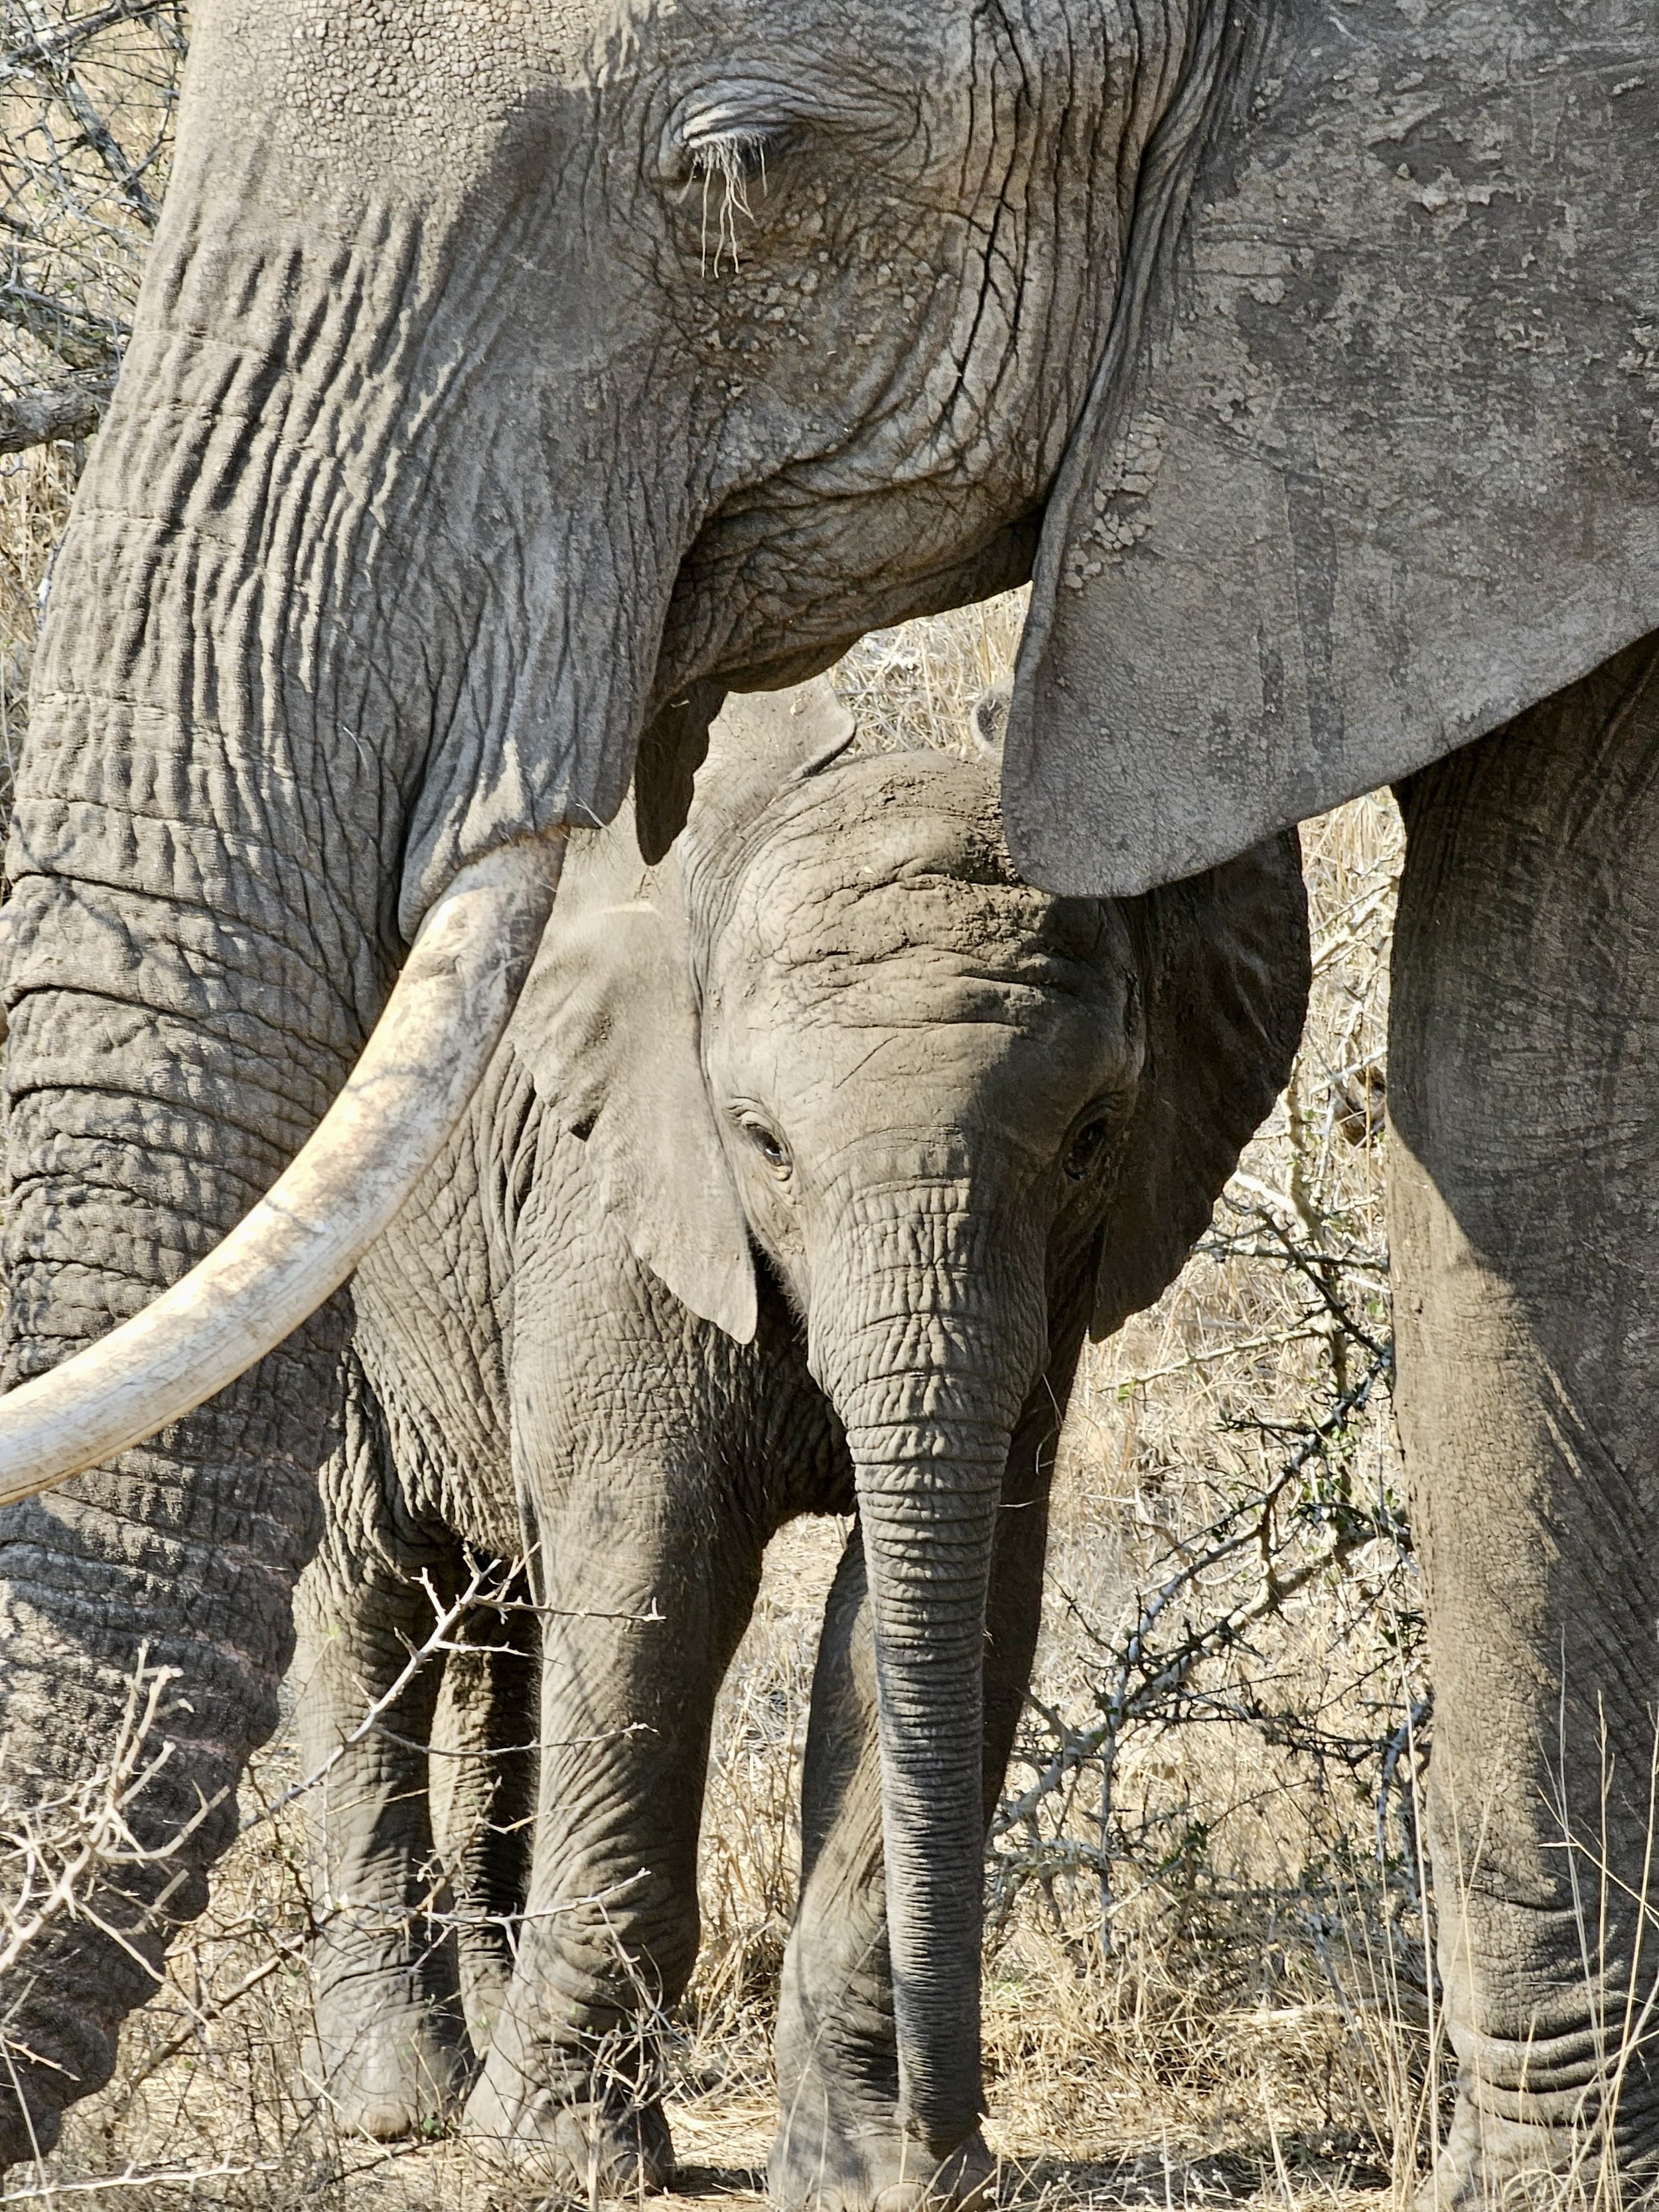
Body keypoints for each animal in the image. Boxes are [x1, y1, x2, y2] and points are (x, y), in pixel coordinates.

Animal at [292, 677, 1308, 2204]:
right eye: (760, 1140)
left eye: (1092, 1134)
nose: (953, 2151)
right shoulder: (620, 1192)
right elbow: (657, 1578)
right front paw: (558, 2150)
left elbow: (939, 1611)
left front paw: (855, 2169)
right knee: (372, 1584)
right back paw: (405, 2106)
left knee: (507, 1608)